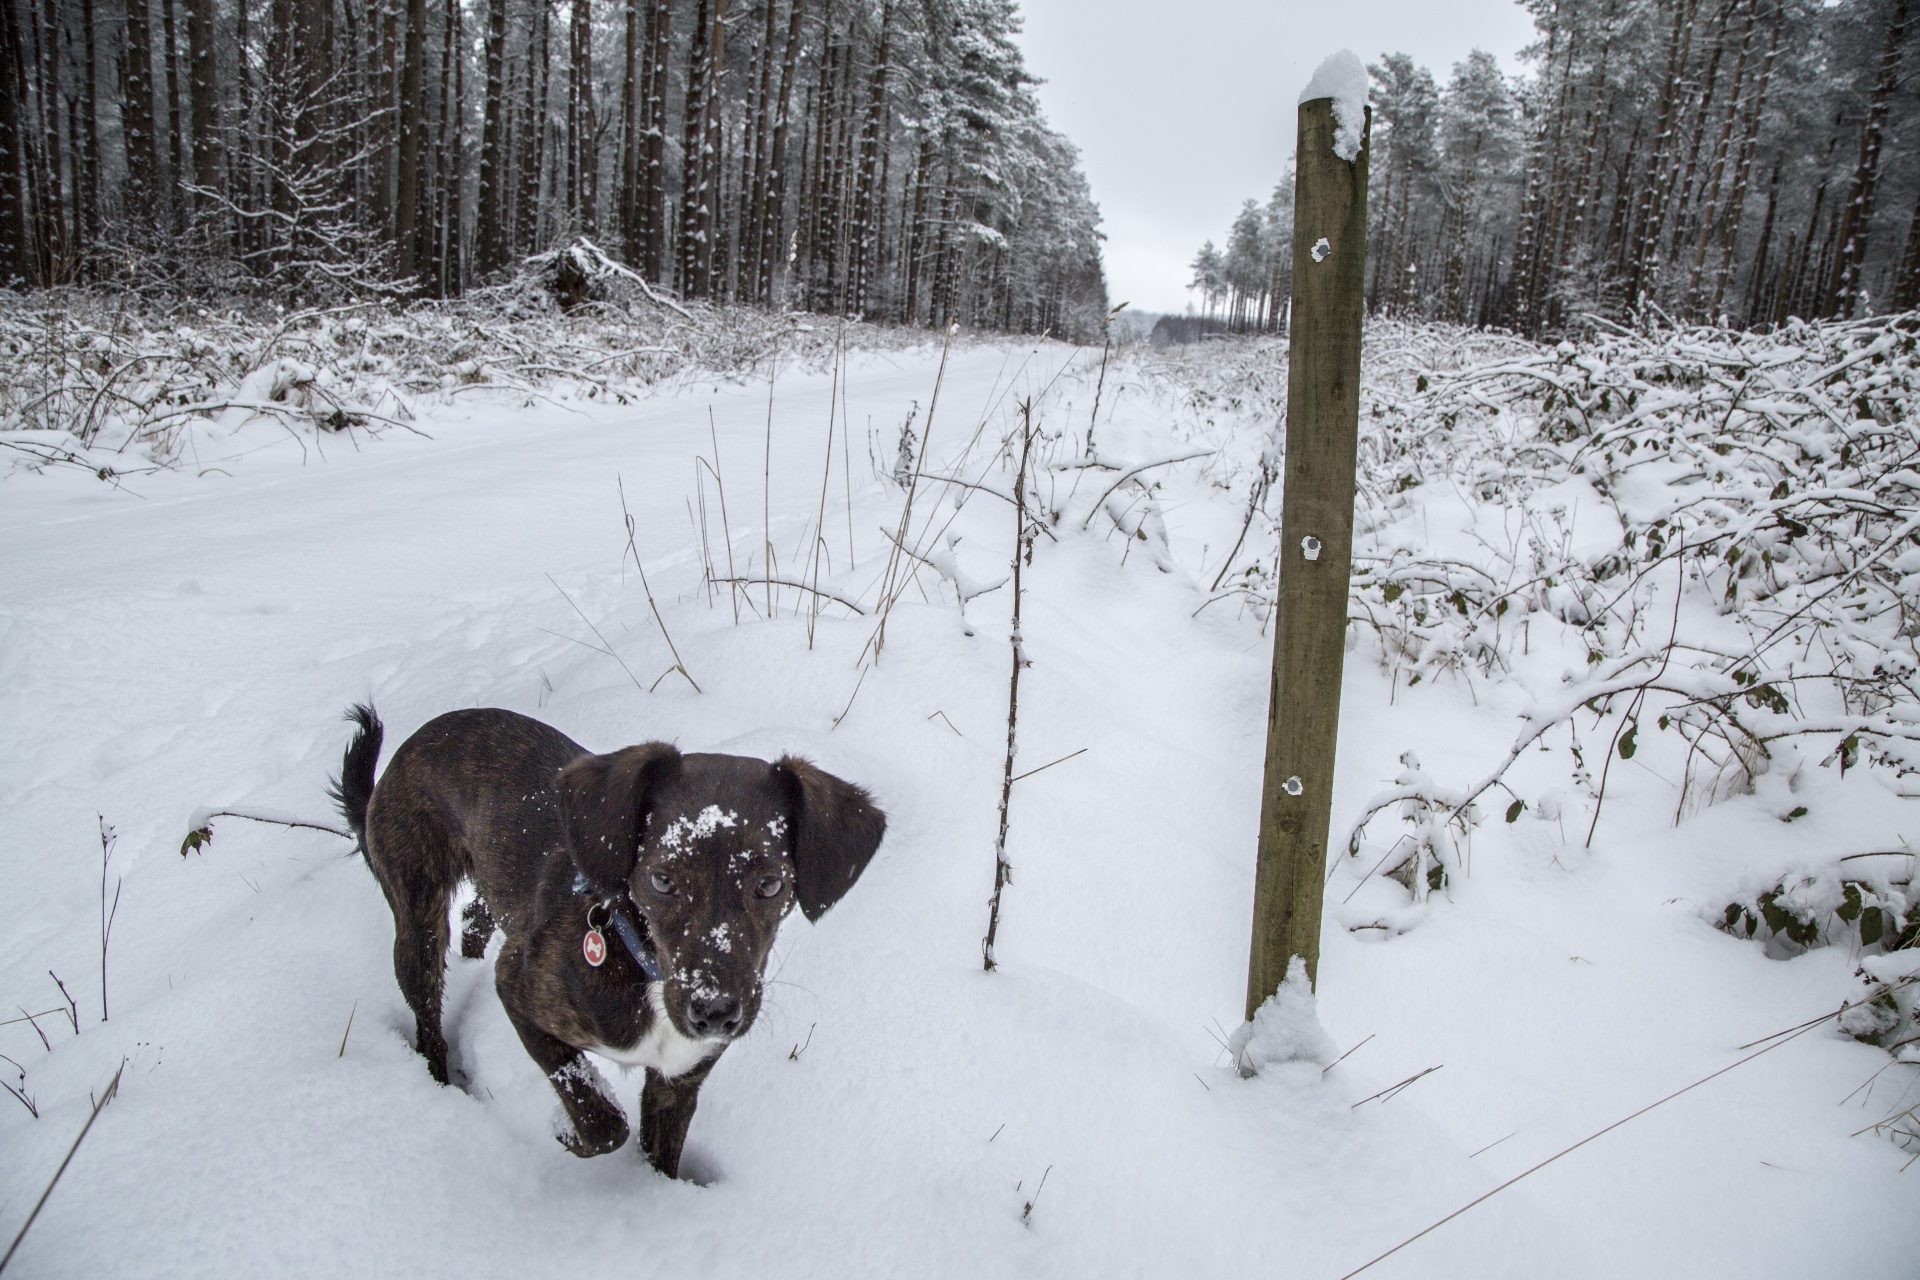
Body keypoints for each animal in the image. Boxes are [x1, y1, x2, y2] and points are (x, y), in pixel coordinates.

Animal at [332, 706, 890, 1174]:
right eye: (662, 879)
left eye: (771, 885)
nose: (713, 1011)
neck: (645, 967)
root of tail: (415, 740)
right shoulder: (518, 988)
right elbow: (602, 1120)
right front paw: (566, 1133)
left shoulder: (678, 1083)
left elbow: (658, 1156)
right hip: (418, 916)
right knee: (428, 1015)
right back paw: (440, 1080)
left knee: (475, 918)